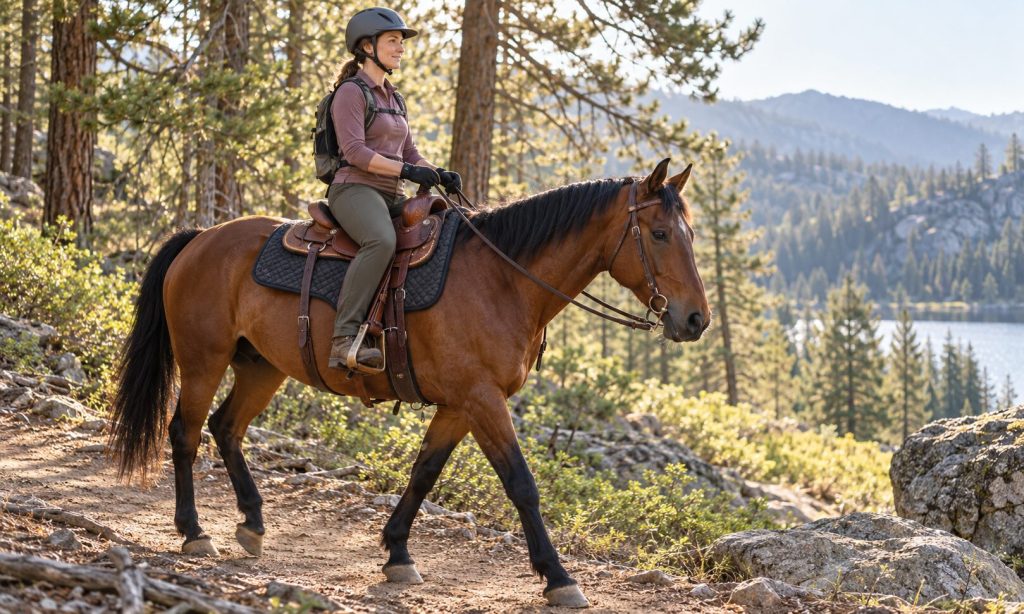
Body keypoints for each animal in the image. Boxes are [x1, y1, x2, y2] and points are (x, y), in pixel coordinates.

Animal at [108, 158, 710, 608]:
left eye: (690, 234)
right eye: (659, 234)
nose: (695, 320)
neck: (504, 279)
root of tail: (200, 239)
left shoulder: (461, 405)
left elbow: (424, 473)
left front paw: (397, 553)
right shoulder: (482, 400)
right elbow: (522, 485)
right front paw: (559, 578)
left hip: (261, 367)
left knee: (226, 428)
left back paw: (253, 523)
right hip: (202, 361)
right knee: (185, 433)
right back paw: (194, 531)